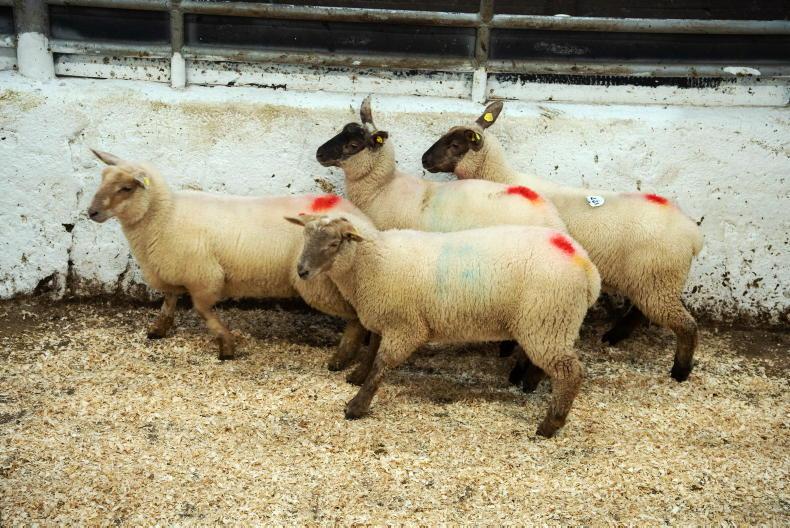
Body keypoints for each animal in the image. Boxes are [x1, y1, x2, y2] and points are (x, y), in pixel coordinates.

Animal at [86, 149, 372, 367]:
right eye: (102, 179)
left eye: (126, 188)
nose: (91, 212)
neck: (164, 216)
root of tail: (358, 218)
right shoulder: (171, 269)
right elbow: (169, 299)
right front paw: (159, 329)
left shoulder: (205, 276)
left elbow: (202, 310)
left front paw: (226, 346)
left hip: (320, 283)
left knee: (356, 316)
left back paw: (342, 358)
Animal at [285, 214, 602, 438]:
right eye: (304, 236)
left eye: (334, 243)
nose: (302, 271)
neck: (373, 261)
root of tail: (586, 264)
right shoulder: (383, 315)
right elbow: (372, 349)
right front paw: (357, 376)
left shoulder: (406, 326)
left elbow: (382, 364)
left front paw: (357, 405)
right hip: (546, 324)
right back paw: (528, 385)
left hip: (547, 320)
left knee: (570, 373)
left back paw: (550, 425)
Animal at [422, 101, 704, 382]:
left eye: (455, 145)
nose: (424, 160)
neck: (501, 178)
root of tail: (692, 233)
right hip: (651, 282)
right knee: (641, 313)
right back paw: (614, 337)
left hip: (658, 281)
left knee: (686, 325)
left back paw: (680, 371)